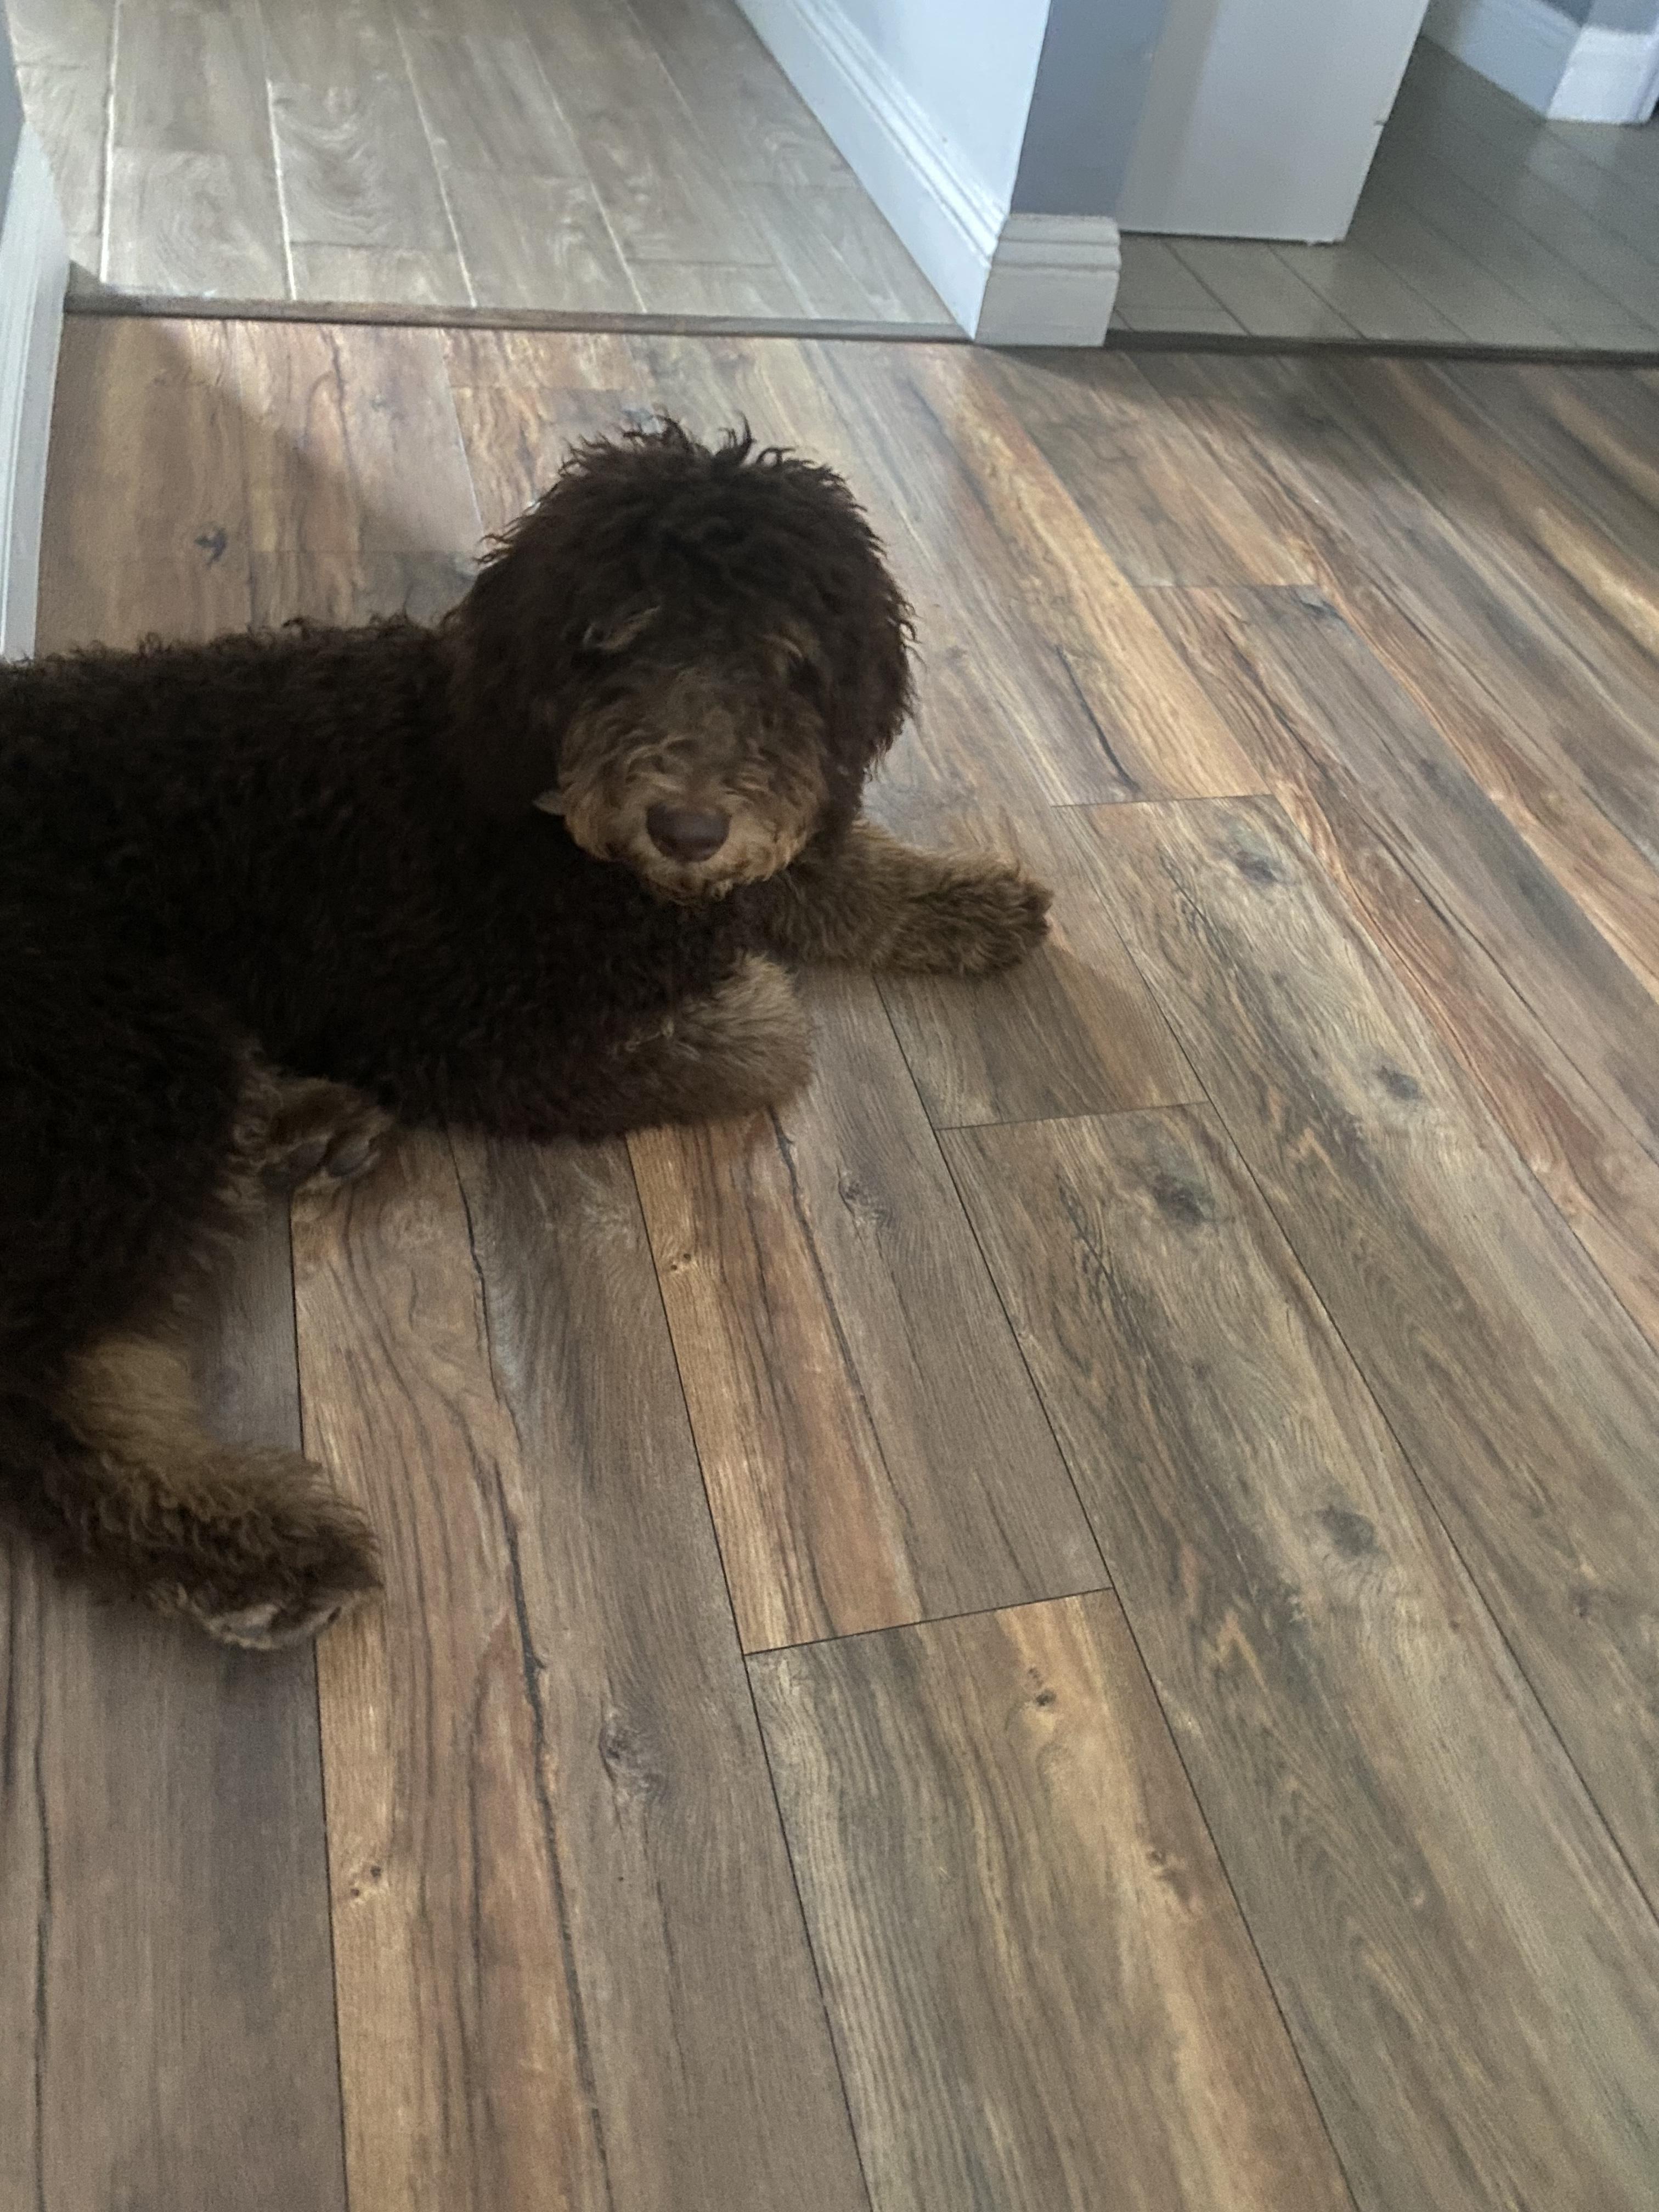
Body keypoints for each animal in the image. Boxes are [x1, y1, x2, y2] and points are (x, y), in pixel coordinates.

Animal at [0, 423, 1050, 1649]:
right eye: (620, 642)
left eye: (781, 657)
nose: (685, 825)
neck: (524, 792)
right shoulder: (474, 1031)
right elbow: (769, 1038)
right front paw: (753, 993)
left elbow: (823, 868)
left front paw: (971, 900)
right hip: (115, 1047)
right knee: (39, 1365)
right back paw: (242, 1547)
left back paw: (302, 1123)